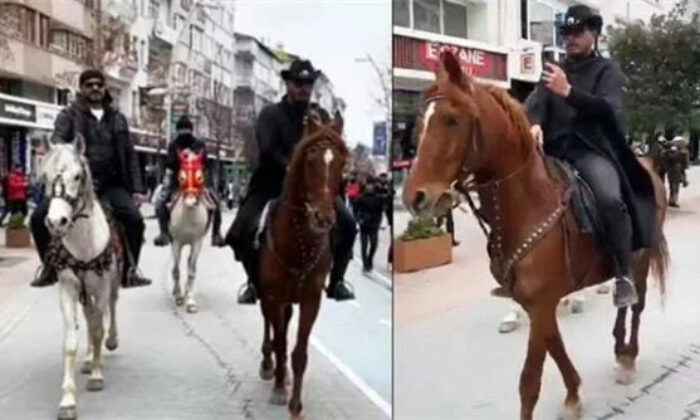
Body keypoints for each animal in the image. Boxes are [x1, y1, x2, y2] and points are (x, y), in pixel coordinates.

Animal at [39, 135, 120, 420]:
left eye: (77, 176)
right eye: (45, 176)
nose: (57, 222)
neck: (84, 242)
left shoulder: (101, 285)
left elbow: (97, 330)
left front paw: (96, 376)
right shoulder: (69, 288)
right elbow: (71, 341)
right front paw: (67, 400)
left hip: (111, 285)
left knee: (109, 310)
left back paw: (110, 343)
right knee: (89, 316)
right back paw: (87, 359)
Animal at [167, 149, 211, 314]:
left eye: (200, 177)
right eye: (181, 178)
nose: (191, 202)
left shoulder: (197, 242)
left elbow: (192, 270)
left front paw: (190, 300)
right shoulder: (176, 242)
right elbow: (176, 269)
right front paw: (179, 295)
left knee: (189, 262)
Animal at [258, 112, 348, 416]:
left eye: (341, 163)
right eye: (310, 160)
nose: (323, 217)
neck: (298, 245)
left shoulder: (311, 299)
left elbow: (299, 351)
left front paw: (295, 404)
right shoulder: (273, 295)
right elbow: (280, 341)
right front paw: (277, 389)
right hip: (267, 295)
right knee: (270, 327)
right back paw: (268, 366)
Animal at [404, 52, 672, 420]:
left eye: (452, 119)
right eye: (422, 120)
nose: (414, 198)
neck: (528, 204)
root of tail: (649, 166)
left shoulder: (542, 303)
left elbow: (529, 382)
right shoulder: (537, 305)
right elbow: (555, 347)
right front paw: (573, 394)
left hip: (641, 259)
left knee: (635, 303)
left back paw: (629, 355)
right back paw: (619, 348)